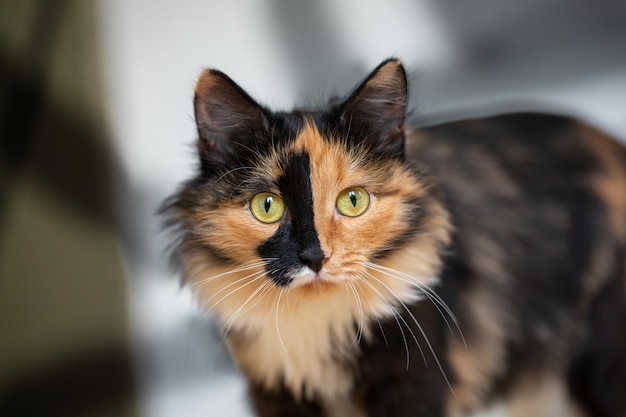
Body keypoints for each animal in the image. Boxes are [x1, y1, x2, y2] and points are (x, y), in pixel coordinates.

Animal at [162, 59, 624, 416]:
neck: (319, 325)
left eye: (353, 200)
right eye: (267, 207)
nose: (314, 256)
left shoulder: (415, 380)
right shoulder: (274, 389)